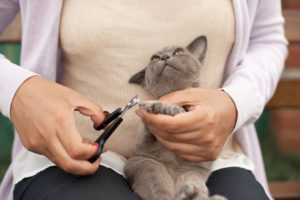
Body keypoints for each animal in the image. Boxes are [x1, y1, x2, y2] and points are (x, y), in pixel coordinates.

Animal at [123, 36, 226, 200]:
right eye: (155, 58)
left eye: (178, 51)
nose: (165, 57)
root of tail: (173, 180)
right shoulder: (143, 142)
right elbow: (148, 130)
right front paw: (154, 107)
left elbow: (181, 111)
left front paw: (170, 109)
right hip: (147, 165)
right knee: (161, 194)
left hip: (193, 176)